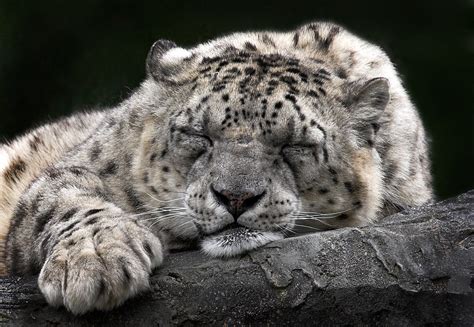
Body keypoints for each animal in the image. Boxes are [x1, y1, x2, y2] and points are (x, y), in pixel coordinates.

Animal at [0, 21, 434, 314]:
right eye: (199, 134)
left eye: (294, 144)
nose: (236, 197)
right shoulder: (77, 168)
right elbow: (60, 192)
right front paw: (95, 260)